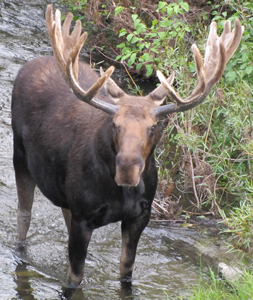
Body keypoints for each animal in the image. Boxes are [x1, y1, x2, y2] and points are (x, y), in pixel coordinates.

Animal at [11, 4, 243, 286]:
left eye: (153, 127)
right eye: (115, 124)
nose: (127, 169)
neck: (119, 194)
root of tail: (31, 64)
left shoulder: (140, 216)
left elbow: (126, 271)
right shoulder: (83, 218)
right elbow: (74, 279)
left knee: (61, 212)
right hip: (20, 156)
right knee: (24, 216)